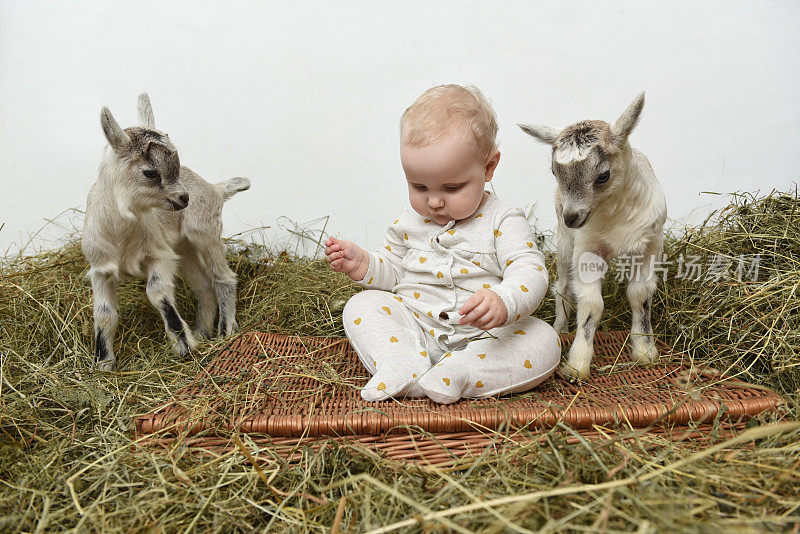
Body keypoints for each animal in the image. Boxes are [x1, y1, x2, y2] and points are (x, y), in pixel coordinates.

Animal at [82, 94, 250, 370]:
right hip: (184, 248)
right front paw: (104, 363)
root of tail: (215, 188)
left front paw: (184, 347)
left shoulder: (159, 255)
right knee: (203, 286)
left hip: (204, 231)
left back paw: (225, 331)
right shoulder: (100, 269)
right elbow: (104, 312)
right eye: (150, 171)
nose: (184, 198)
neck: (122, 235)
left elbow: (157, 292)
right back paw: (202, 331)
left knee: (223, 278)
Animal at [520, 95, 664, 382]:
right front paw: (577, 366)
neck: (614, 215)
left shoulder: (649, 246)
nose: (572, 217)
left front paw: (645, 352)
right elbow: (591, 305)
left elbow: (640, 295)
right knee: (563, 287)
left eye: (603, 175)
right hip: (565, 244)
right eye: (553, 172)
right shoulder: (587, 250)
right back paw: (561, 328)